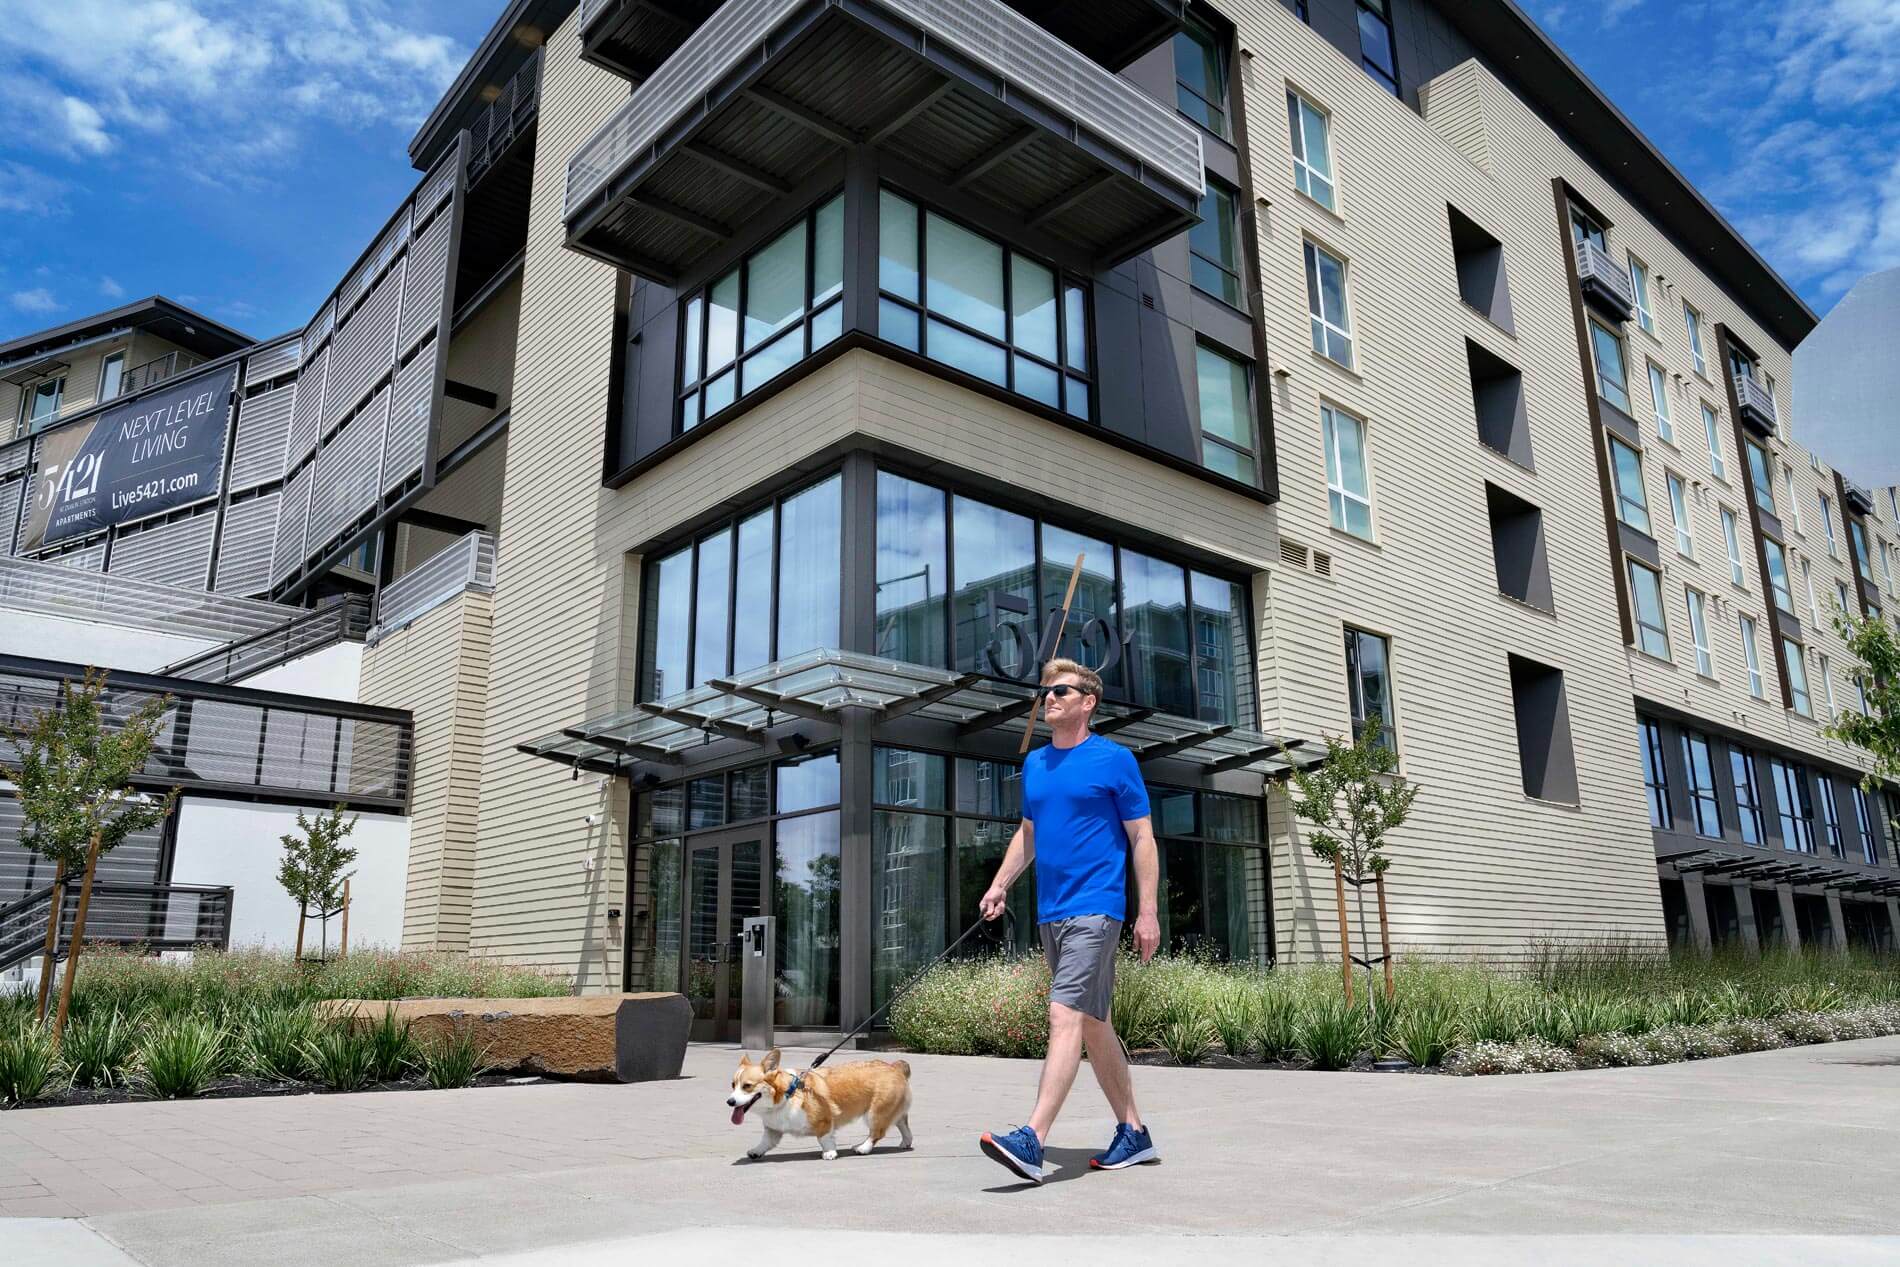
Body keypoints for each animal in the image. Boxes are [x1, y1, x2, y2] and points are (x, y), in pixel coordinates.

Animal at [725, 1048, 912, 1162]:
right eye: (733, 1085)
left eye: (747, 1086)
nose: (730, 1102)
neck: (786, 1094)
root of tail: (894, 1067)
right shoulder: (773, 1129)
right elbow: (765, 1141)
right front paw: (756, 1151)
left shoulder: (825, 1121)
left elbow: (824, 1138)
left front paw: (829, 1153)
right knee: (903, 1124)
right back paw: (906, 1142)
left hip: (875, 1113)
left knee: (877, 1133)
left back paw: (862, 1148)